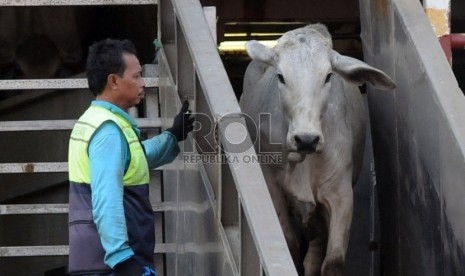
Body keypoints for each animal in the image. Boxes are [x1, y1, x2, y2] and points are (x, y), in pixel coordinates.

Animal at [239, 24, 396, 276]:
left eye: (328, 76)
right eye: (281, 76)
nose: (306, 139)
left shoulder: (340, 194)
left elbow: (333, 262)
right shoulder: (272, 187)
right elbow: (289, 245)